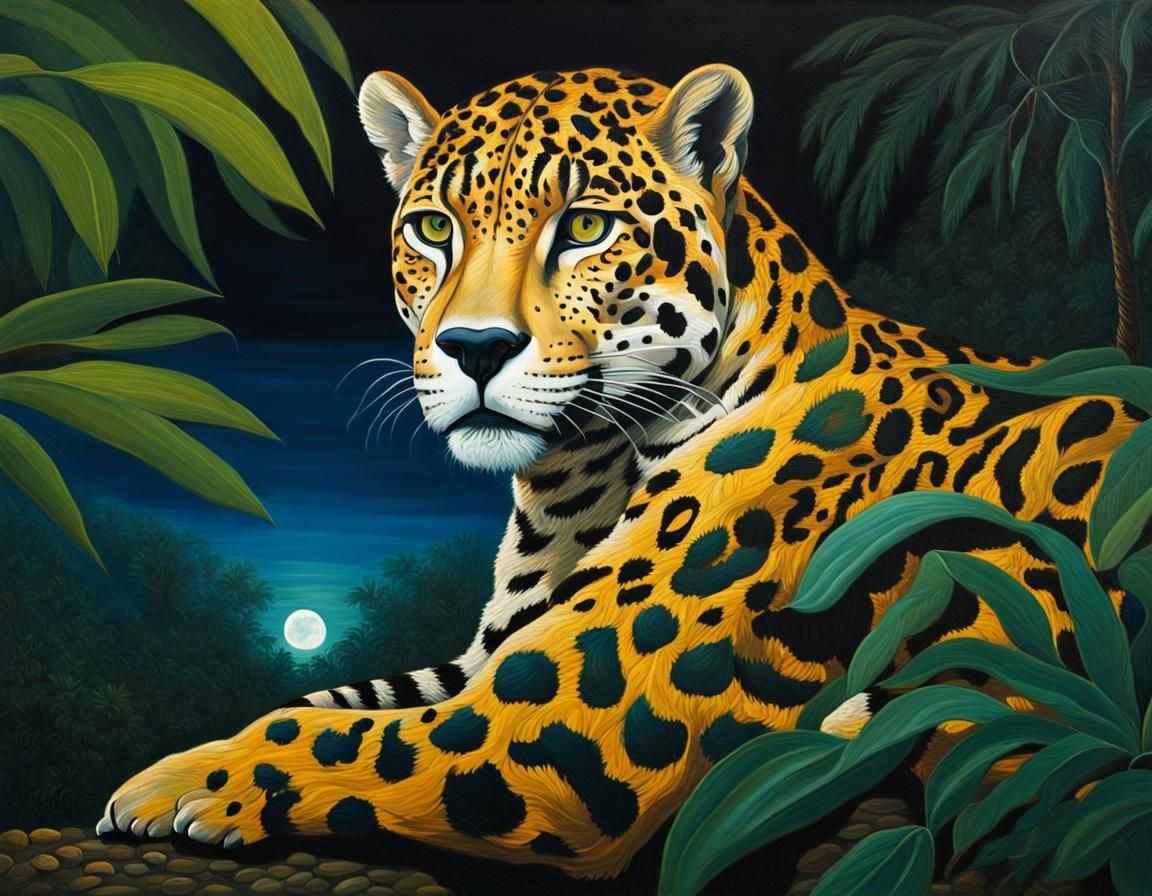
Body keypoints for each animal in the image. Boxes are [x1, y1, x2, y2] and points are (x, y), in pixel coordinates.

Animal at [97, 64, 1142, 880]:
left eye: (586, 226)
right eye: (433, 229)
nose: (475, 348)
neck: (584, 472)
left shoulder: (555, 720)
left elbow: (334, 733)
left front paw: (172, 782)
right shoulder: (490, 658)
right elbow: (341, 700)